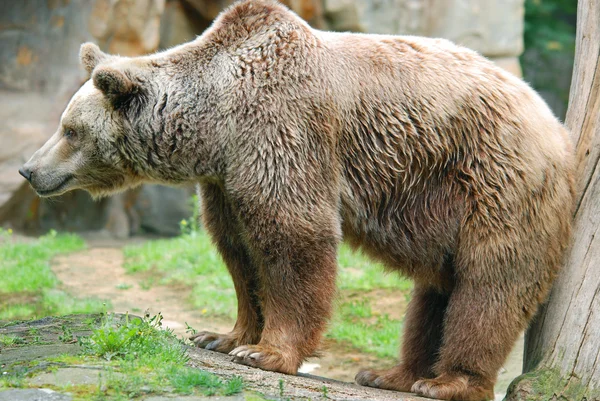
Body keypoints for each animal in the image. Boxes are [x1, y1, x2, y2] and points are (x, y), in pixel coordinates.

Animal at [18, 1, 576, 398]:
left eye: (70, 130)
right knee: (436, 291)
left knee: (489, 282)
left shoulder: (281, 127)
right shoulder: (226, 176)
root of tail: (554, 124)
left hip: (496, 183)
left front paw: (266, 353)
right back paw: (391, 374)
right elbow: (238, 251)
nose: (29, 169)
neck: (215, 125)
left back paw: (447, 381)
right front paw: (225, 336)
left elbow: (293, 235)